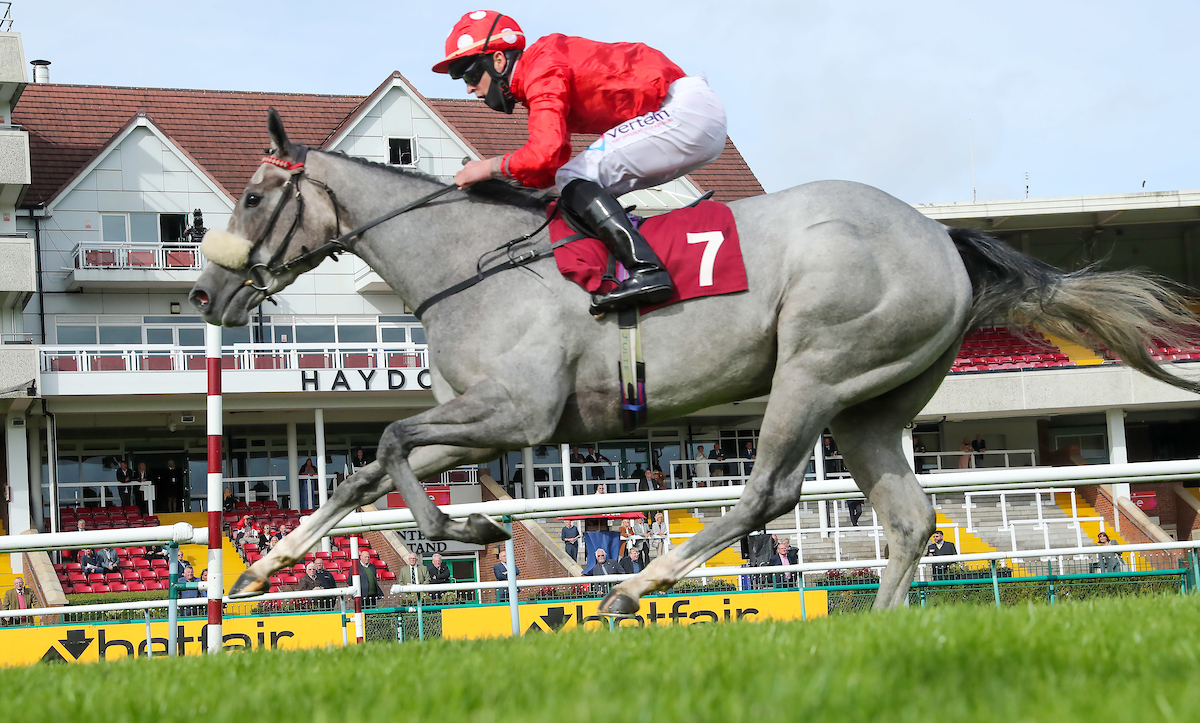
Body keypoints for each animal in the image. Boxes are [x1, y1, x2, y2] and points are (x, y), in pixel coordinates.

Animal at [189, 109, 1200, 610]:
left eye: (252, 196)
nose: (203, 293)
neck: (468, 262)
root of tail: (943, 237)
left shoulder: (516, 412)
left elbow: (392, 439)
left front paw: (465, 532)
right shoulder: (487, 421)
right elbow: (364, 468)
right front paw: (259, 568)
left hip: (814, 369)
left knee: (767, 493)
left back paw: (634, 588)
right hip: (872, 404)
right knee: (910, 518)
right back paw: (878, 629)